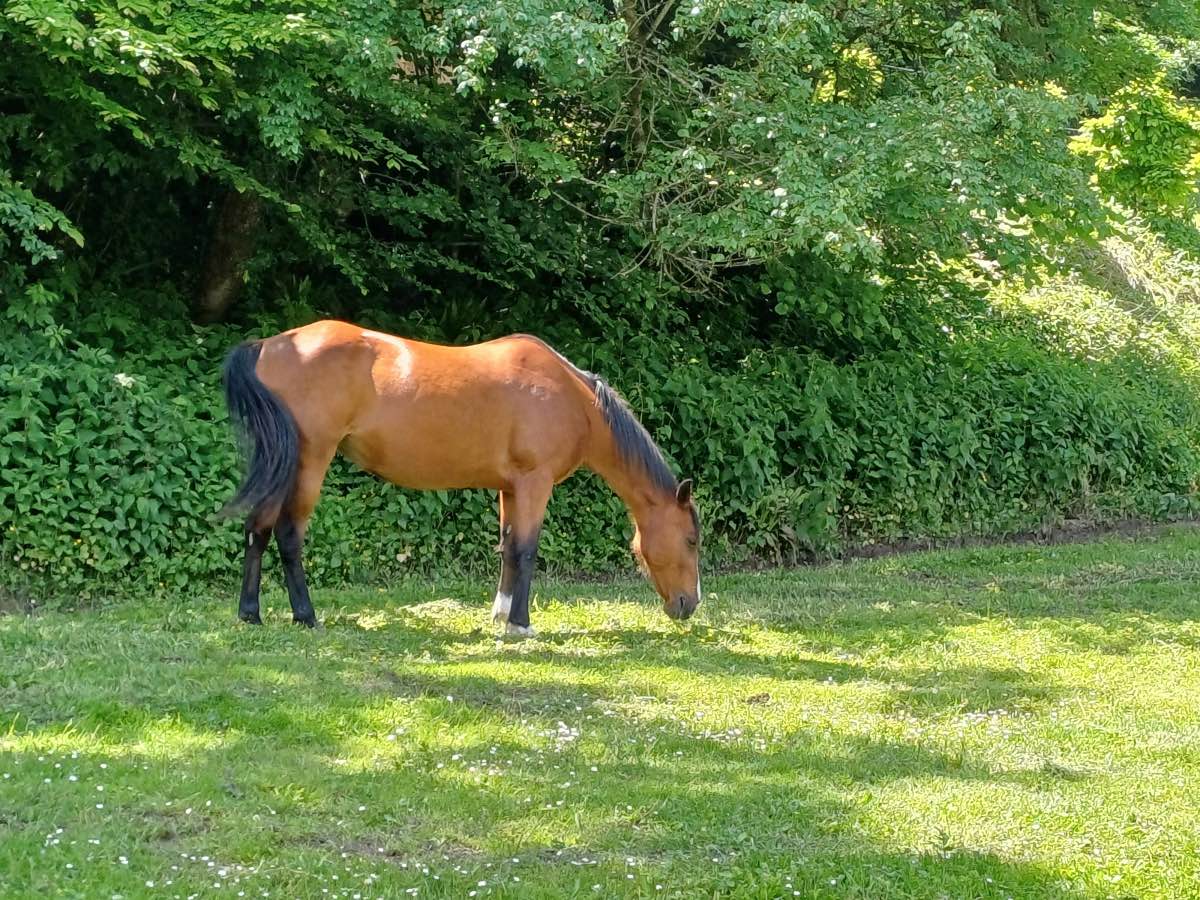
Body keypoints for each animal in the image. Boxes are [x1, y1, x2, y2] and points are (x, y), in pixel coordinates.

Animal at [220, 319, 700, 633]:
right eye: (692, 540)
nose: (689, 605)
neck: (572, 398)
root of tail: (270, 344)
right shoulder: (535, 483)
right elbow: (527, 550)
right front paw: (521, 624)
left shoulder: (511, 488)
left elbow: (508, 548)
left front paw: (501, 613)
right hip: (310, 460)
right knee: (288, 534)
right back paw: (305, 616)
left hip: (281, 463)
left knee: (258, 529)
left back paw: (250, 613)